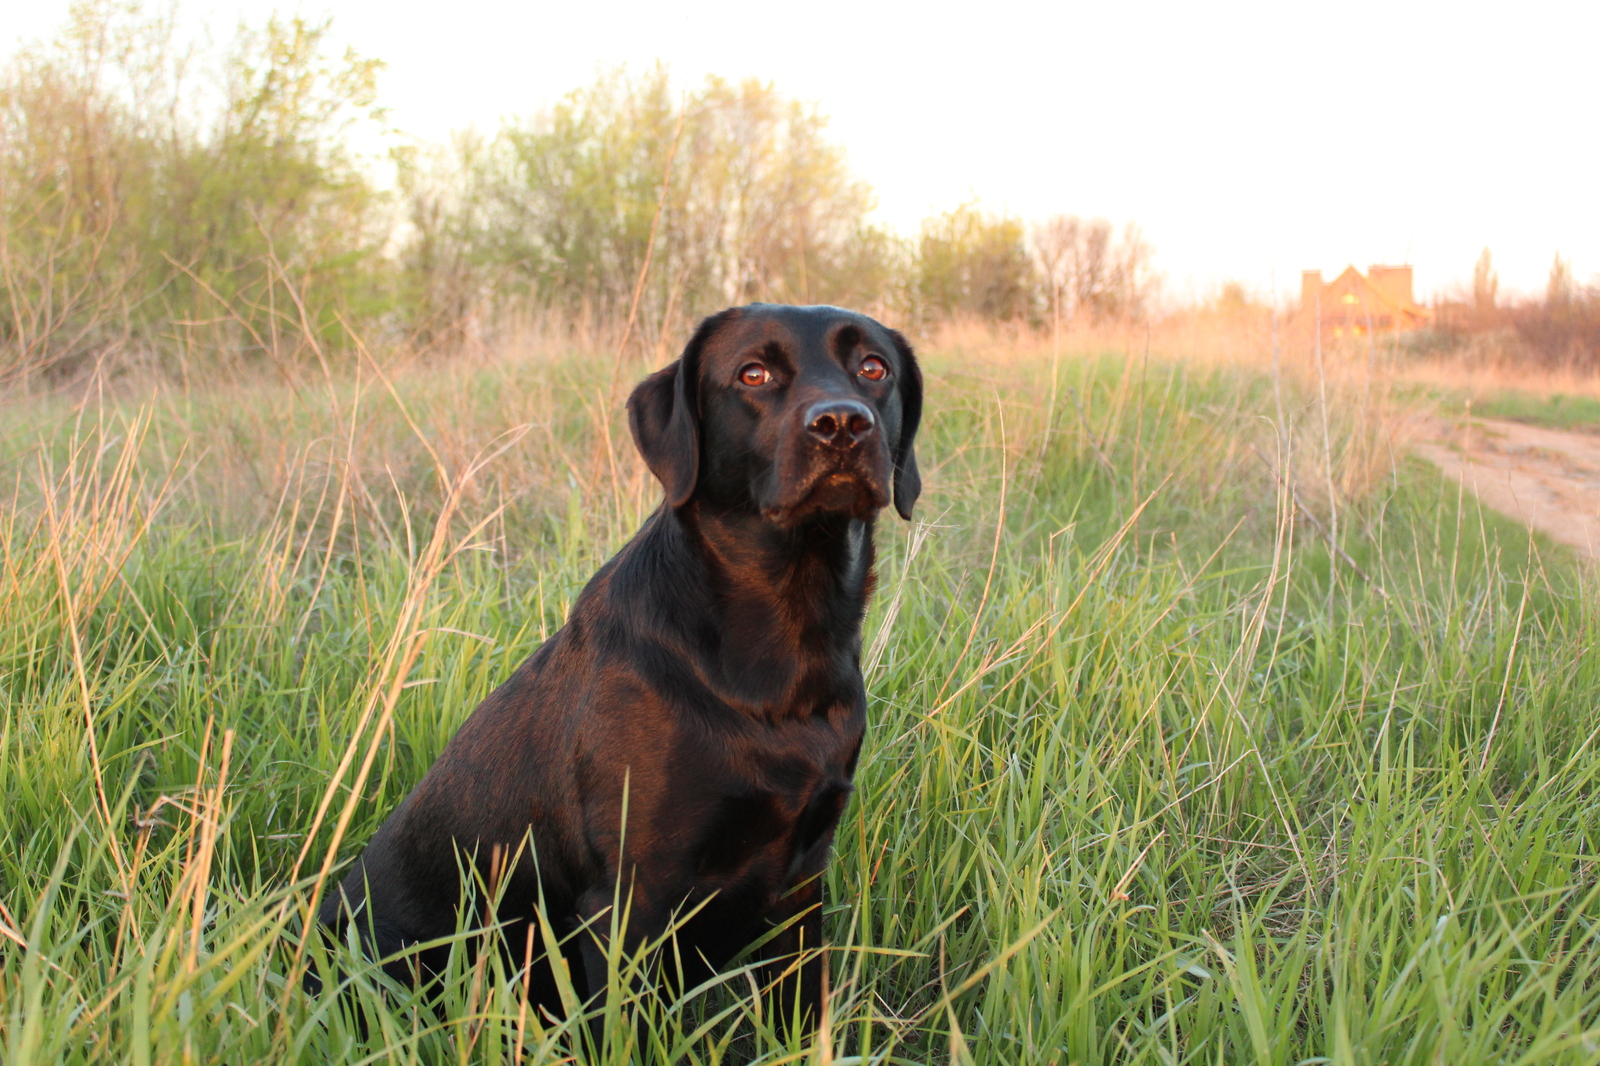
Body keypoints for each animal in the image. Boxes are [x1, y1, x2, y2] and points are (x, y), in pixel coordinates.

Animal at [318, 302, 921, 1030]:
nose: (841, 423)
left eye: (874, 368)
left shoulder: (801, 882)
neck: (781, 646)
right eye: (753, 373)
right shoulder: (627, 904)